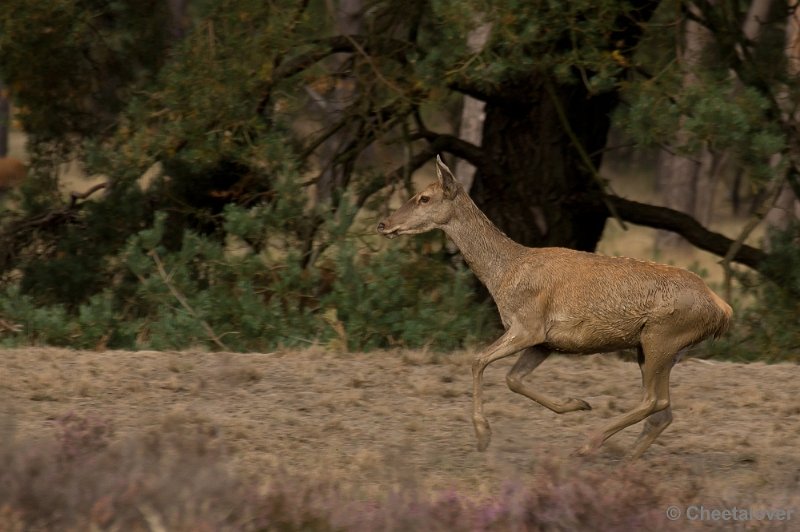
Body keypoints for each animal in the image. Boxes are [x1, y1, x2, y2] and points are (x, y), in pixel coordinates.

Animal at [376, 156, 732, 460]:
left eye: (424, 198)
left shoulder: (528, 325)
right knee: (663, 411)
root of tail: (722, 309)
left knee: (654, 400)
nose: (383, 224)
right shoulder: (545, 342)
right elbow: (513, 379)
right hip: (658, 348)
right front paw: (576, 403)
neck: (503, 275)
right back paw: (625, 459)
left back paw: (589, 443)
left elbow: (478, 360)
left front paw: (483, 435)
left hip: (662, 336)